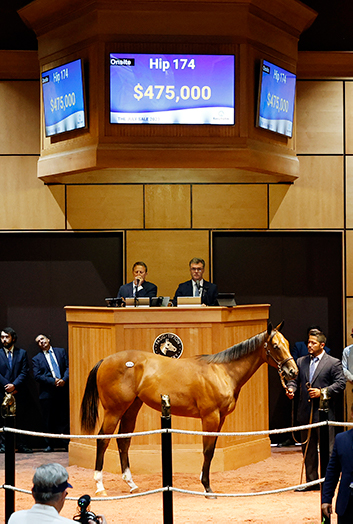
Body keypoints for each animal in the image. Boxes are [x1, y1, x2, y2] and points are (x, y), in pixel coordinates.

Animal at [81, 322, 296, 498]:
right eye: (276, 346)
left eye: (287, 343)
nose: (293, 372)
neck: (222, 371)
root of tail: (105, 360)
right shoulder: (210, 417)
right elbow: (207, 451)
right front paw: (207, 488)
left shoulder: (220, 419)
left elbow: (211, 450)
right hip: (114, 410)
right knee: (103, 440)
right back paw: (100, 487)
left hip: (131, 409)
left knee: (123, 441)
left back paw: (132, 485)